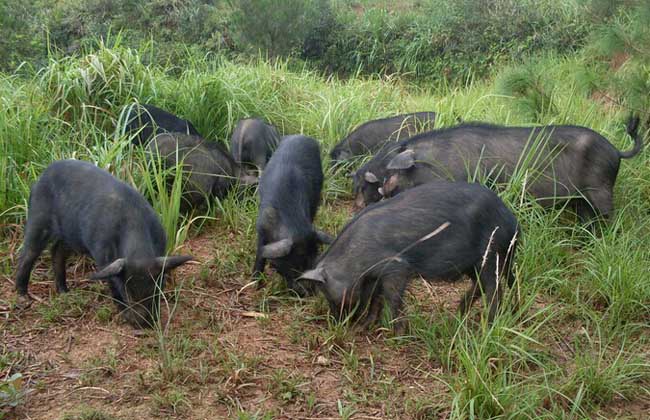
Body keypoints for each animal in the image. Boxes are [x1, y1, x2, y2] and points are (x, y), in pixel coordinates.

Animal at [13, 159, 191, 326]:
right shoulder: (103, 257)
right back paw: (23, 296)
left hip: (69, 235)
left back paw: (64, 292)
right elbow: (113, 285)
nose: (141, 323)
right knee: (28, 253)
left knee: (57, 251)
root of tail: (41, 177)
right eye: (128, 291)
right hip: (37, 218)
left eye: (154, 288)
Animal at [252, 136, 332, 294]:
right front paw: (254, 284)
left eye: (314, 260)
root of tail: (301, 136)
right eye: (295, 266)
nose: (310, 292)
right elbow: (260, 254)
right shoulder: (261, 227)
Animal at [298, 180, 516, 328]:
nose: (339, 323)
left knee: (494, 289)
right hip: (475, 263)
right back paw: (459, 314)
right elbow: (375, 299)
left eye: (331, 297)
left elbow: (392, 298)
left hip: (490, 254)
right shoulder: (376, 275)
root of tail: (512, 223)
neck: (355, 261)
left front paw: (396, 333)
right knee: (481, 285)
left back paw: (488, 324)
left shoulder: (397, 267)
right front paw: (366, 326)